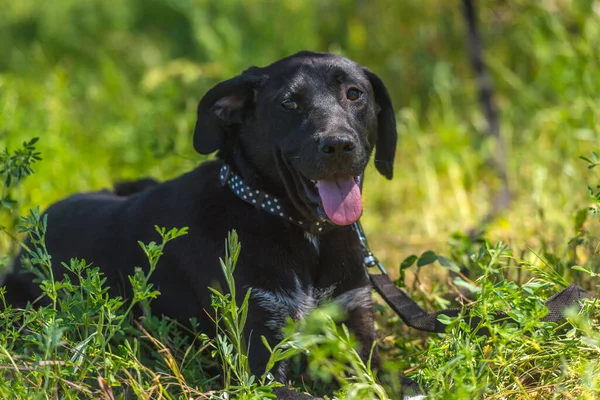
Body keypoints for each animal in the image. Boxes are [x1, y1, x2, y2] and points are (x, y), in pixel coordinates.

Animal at [1, 51, 422, 398]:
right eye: (289, 103)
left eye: (354, 93)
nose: (337, 145)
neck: (305, 232)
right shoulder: (256, 365)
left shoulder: (356, 337)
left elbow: (408, 385)